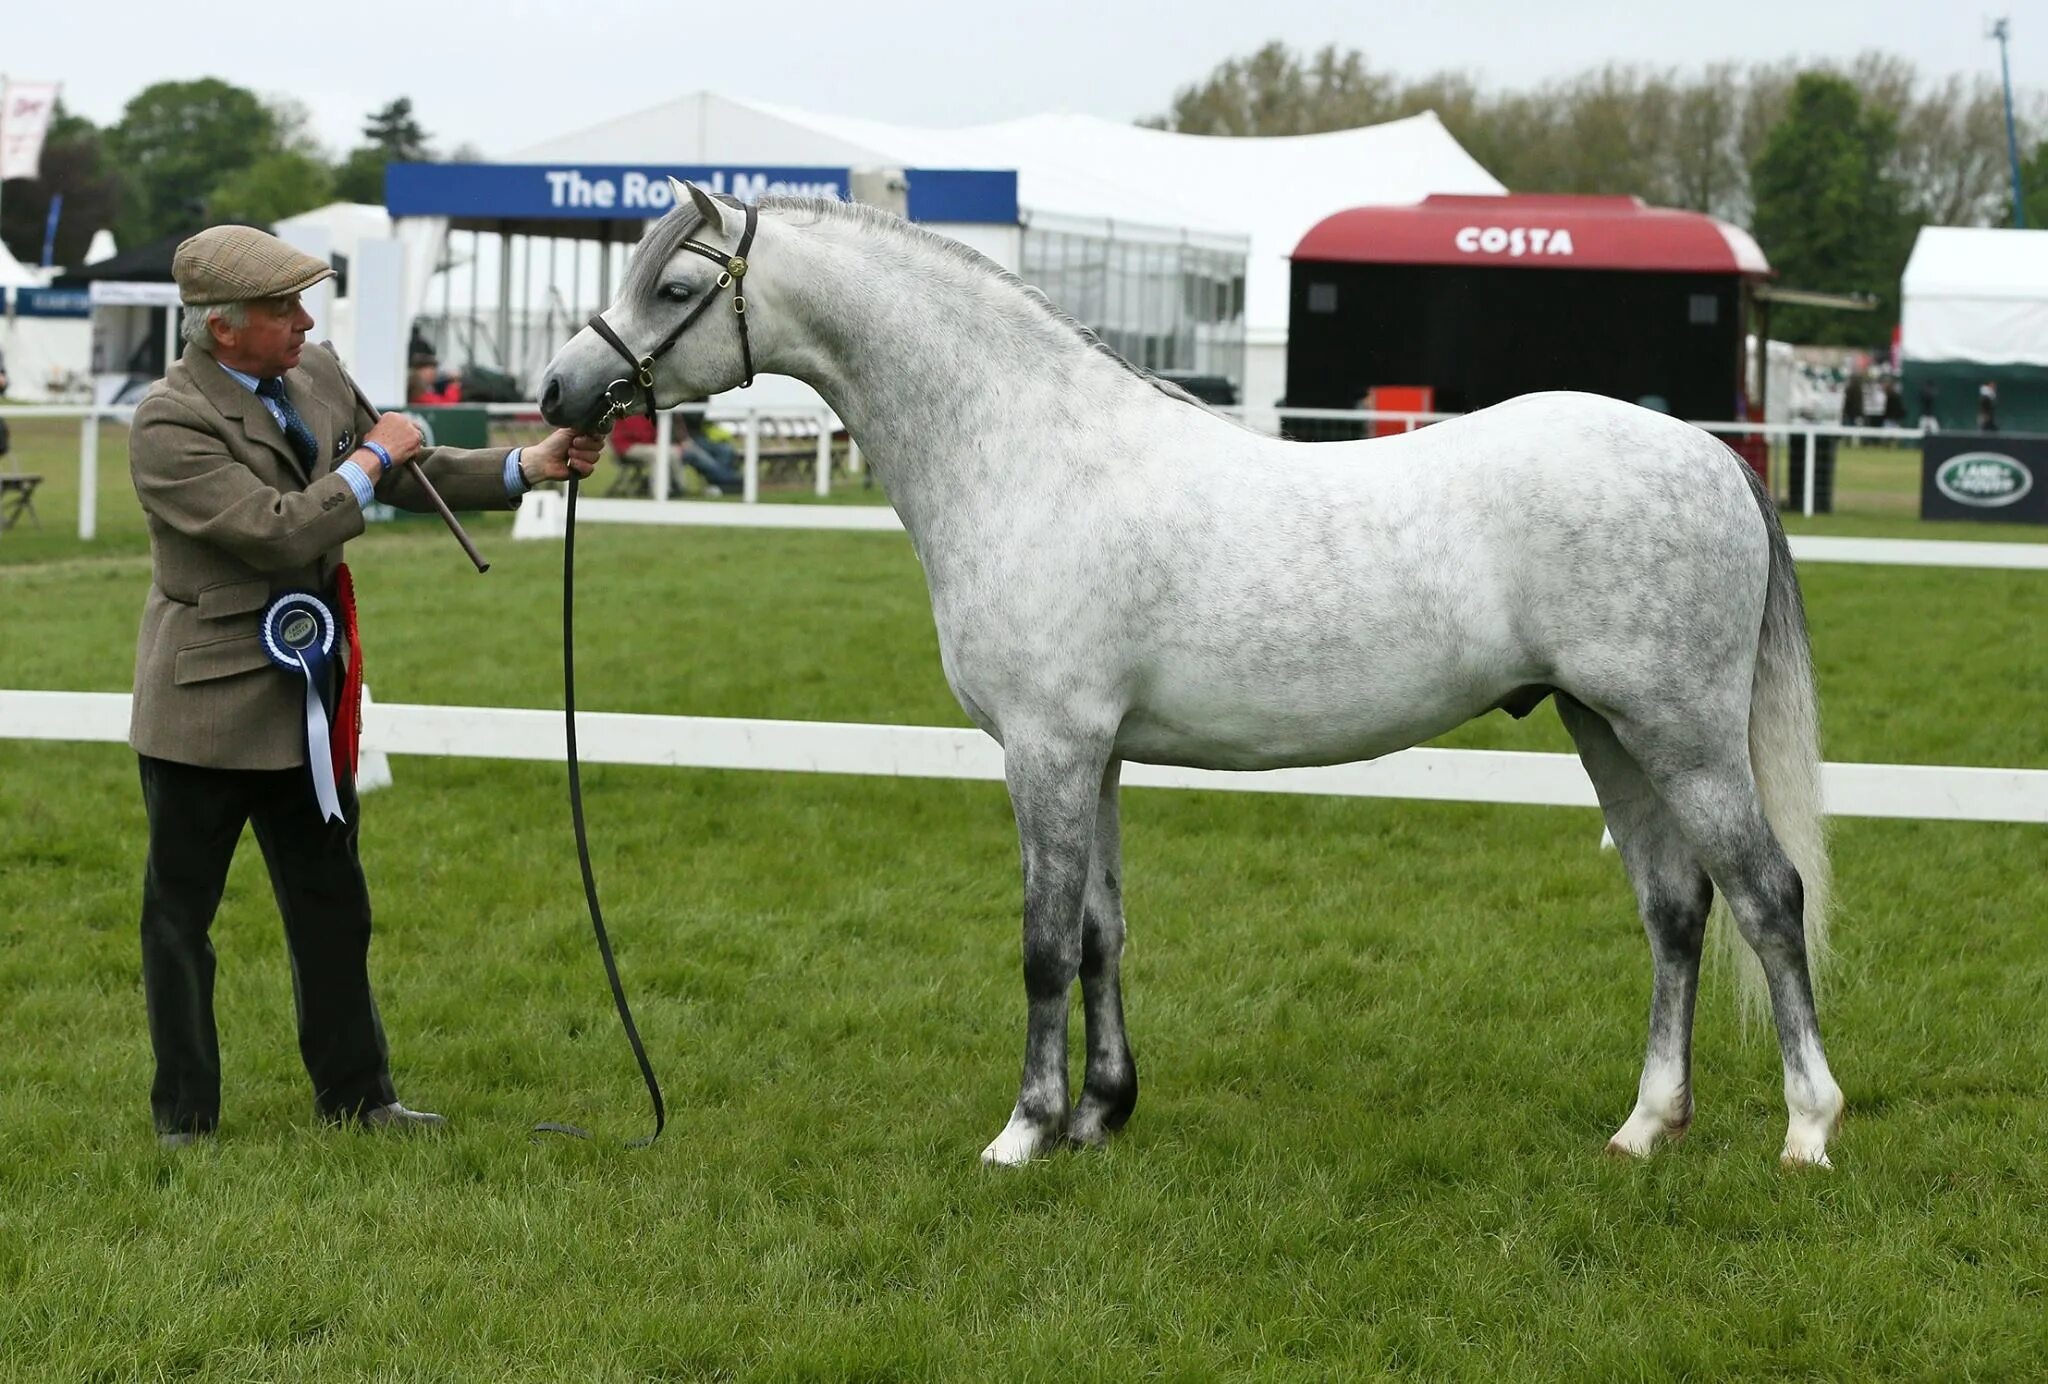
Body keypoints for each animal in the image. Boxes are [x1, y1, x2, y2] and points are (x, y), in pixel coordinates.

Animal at [536, 181, 1851, 1171]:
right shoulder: (1099, 754)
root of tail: (1705, 454)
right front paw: (1098, 1114)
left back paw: (1804, 1129)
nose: (559, 394)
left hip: (1678, 734)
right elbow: (1101, 933)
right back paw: (1643, 1125)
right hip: (1603, 728)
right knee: (1673, 910)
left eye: (675, 287)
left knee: (1764, 897)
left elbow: (1041, 942)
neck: (1025, 451)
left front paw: (1021, 1132)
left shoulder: (1047, 747)